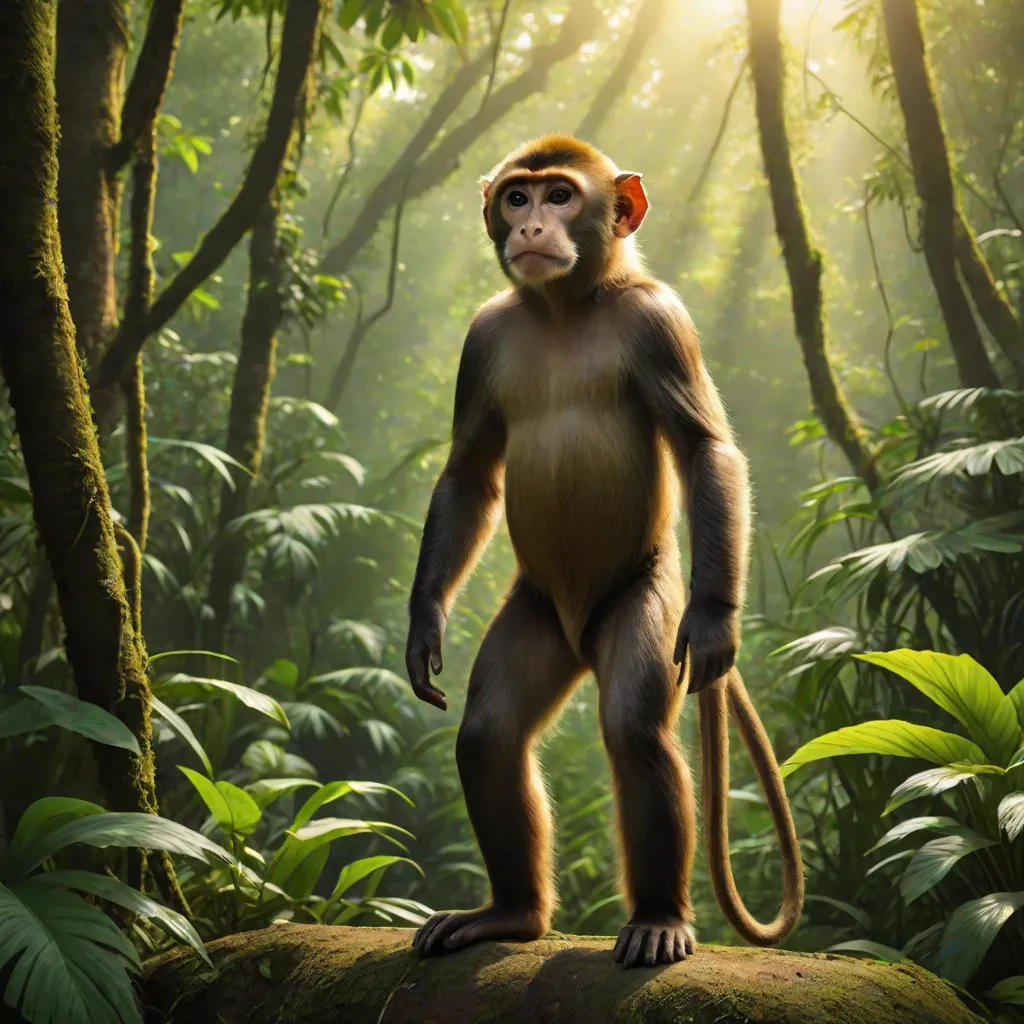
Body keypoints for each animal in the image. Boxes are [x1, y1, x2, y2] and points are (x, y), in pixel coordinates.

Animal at [405, 135, 803, 969]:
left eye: (560, 195)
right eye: (516, 197)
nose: (529, 228)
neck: (565, 306)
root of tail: (578, 628)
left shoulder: (659, 321)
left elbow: (705, 451)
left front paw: (717, 621)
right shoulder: (483, 335)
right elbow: (469, 475)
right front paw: (424, 623)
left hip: (643, 595)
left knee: (636, 734)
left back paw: (658, 916)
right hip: (536, 613)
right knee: (491, 733)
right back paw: (513, 914)